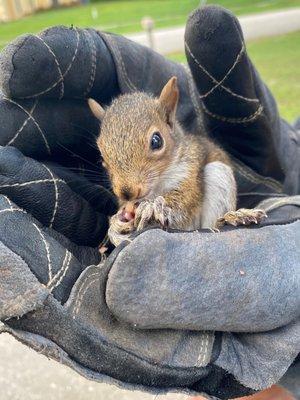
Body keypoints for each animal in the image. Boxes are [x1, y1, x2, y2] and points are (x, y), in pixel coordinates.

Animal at [88, 76, 264, 245]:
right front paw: (115, 224)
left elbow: (184, 201)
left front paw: (152, 206)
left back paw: (235, 216)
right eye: (102, 156)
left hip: (219, 173)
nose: (127, 192)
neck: (157, 185)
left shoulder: (190, 172)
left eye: (156, 141)